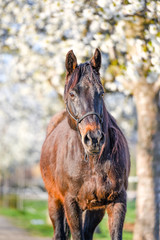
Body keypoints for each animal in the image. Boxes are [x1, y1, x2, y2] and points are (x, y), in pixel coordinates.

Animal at [40, 49, 130, 240]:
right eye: (72, 94)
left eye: (101, 93)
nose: (94, 138)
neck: (92, 164)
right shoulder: (71, 203)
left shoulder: (116, 201)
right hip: (54, 200)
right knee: (59, 232)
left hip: (95, 209)